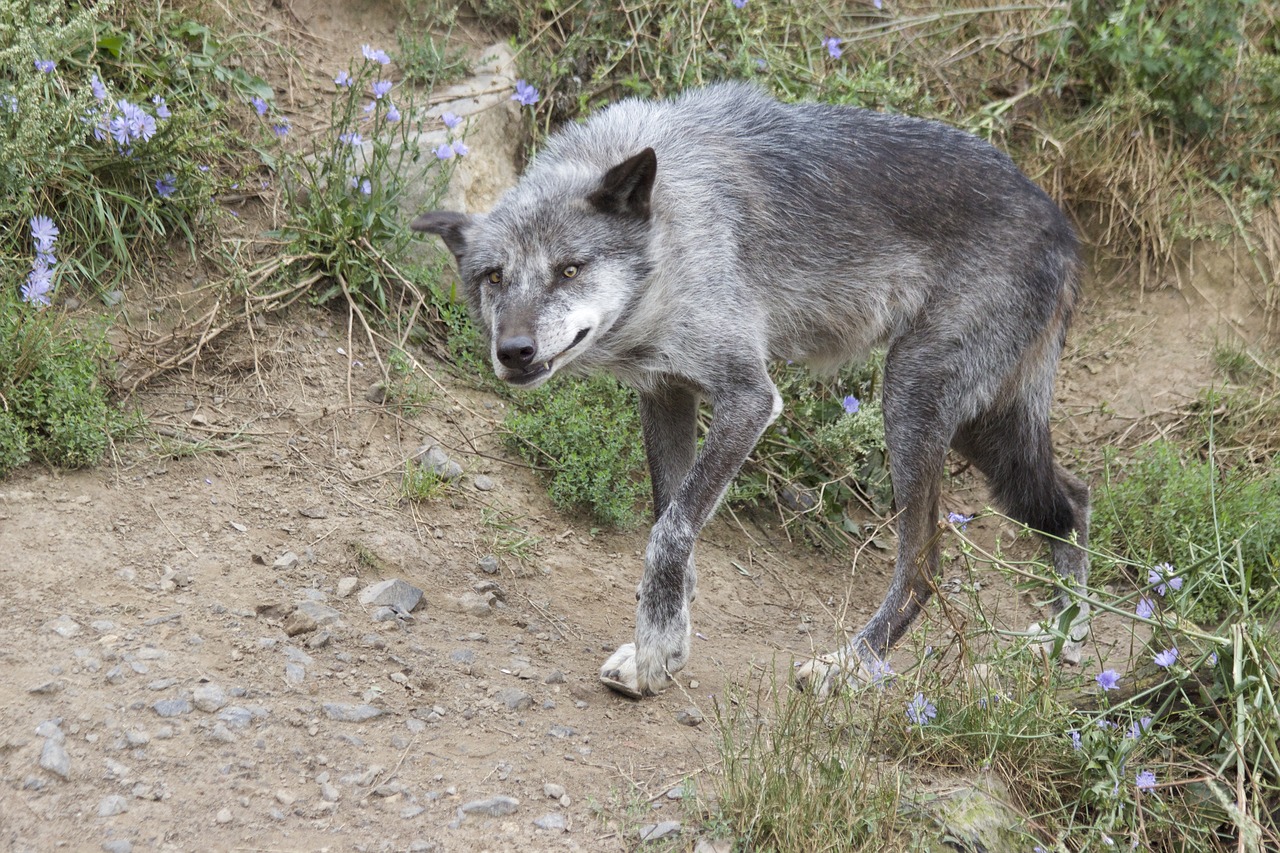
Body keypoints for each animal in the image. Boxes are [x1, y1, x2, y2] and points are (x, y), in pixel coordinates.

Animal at [412, 79, 1090, 696]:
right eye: (494, 278)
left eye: (570, 269)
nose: (513, 352)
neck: (672, 233)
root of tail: (1063, 226)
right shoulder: (666, 395)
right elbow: (673, 521)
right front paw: (667, 645)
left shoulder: (750, 399)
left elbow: (670, 531)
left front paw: (654, 651)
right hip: (984, 429)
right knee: (1073, 502)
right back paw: (1063, 642)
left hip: (909, 400)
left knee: (924, 564)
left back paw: (848, 666)